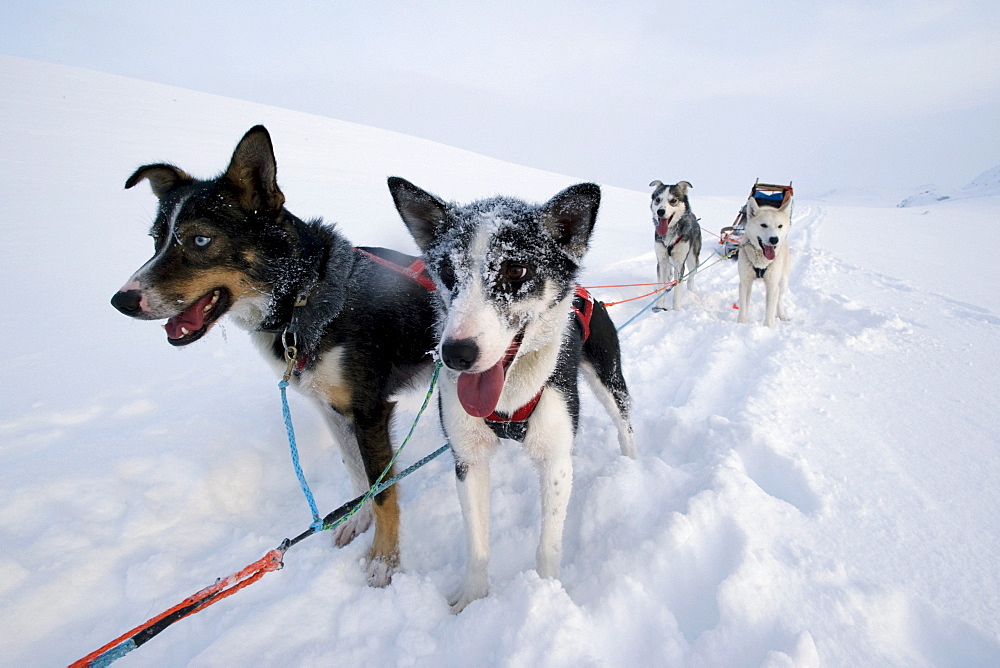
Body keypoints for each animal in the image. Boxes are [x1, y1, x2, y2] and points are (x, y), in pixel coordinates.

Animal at [111, 125, 436, 584]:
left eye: (200, 239)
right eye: (156, 239)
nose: (122, 300)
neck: (308, 297)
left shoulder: (369, 411)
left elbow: (383, 492)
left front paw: (383, 562)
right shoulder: (332, 409)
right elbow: (357, 474)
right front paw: (357, 520)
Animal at [386, 176, 636, 612]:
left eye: (515, 269)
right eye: (446, 271)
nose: (456, 354)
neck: (509, 398)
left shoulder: (556, 460)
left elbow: (548, 546)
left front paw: (546, 599)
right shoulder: (468, 459)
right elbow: (477, 545)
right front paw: (472, 599)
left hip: (610, 378)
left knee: (625, 423)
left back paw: (634, 468)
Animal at [648, 180, 704, 310]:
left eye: (673, 200)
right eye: (657, 199)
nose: (660, 211)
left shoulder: (679, 263)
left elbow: (678, 289)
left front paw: (676, 310)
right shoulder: (662, 261)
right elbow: (661, 284)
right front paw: (659, 308)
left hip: (692, 259)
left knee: (691, 277)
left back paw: (690, 293)